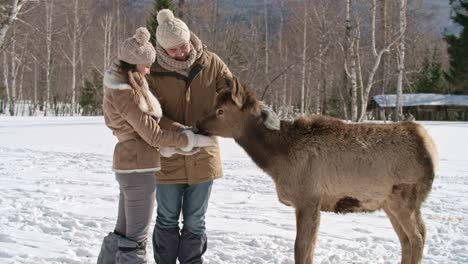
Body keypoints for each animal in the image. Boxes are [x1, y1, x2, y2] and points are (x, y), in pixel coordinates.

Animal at [196, 77, 436, 264]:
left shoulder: (308, 198)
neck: (276, 159)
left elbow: (301, 249)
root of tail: (429, 146)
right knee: (407, 239)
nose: (197, 125)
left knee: (418, 237)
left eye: (220, 110)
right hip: (389, 203)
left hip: (405, 197)